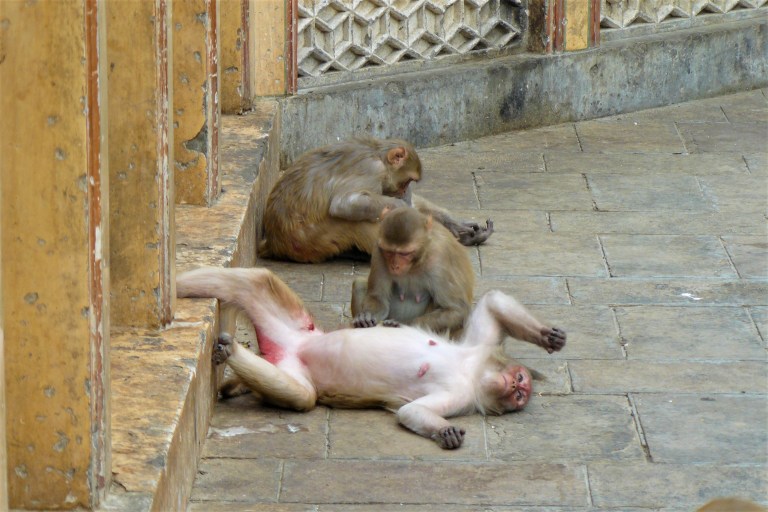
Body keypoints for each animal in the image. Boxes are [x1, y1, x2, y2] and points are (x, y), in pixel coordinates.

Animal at [177, 266, 566, 449]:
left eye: (520, 395)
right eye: (519, 383)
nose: (518, 386)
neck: (473, 371)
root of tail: (288, 346)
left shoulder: (464, 395)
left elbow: (412, 412)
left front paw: (444, 431)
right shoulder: (478, 350)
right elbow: (493, 302)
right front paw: (548, 336)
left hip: (289, 354)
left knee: (303, 396)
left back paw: (233, 352)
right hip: (298, 325)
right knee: (255, 280)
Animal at [258, 136, 494, 263]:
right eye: (407, 181)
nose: (404, 193)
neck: (376, 152)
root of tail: (274, 242)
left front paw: (455, 225)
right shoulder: (372, 170)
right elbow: (345, 204)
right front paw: (405, 209)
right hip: (309, 241)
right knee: (356, 219)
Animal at [351, 207, 474, 338]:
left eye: (404, 253)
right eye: (389, 252)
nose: (395, 266)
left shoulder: (439, 259)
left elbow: (457, 310)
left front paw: (404, 325)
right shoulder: (379, 249)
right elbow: (377, 296)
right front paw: (366, 316)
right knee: (359, 284)